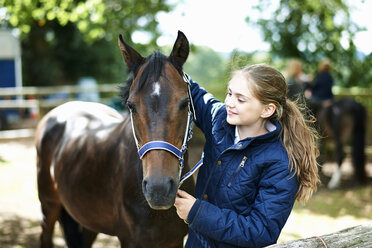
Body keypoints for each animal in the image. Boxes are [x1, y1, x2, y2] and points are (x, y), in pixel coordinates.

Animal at [35, 31, 195, 248]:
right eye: (131, 106)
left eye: (185, 103)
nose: (158, 189)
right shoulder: (129, 240)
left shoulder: (175, 241)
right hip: (48, 205)